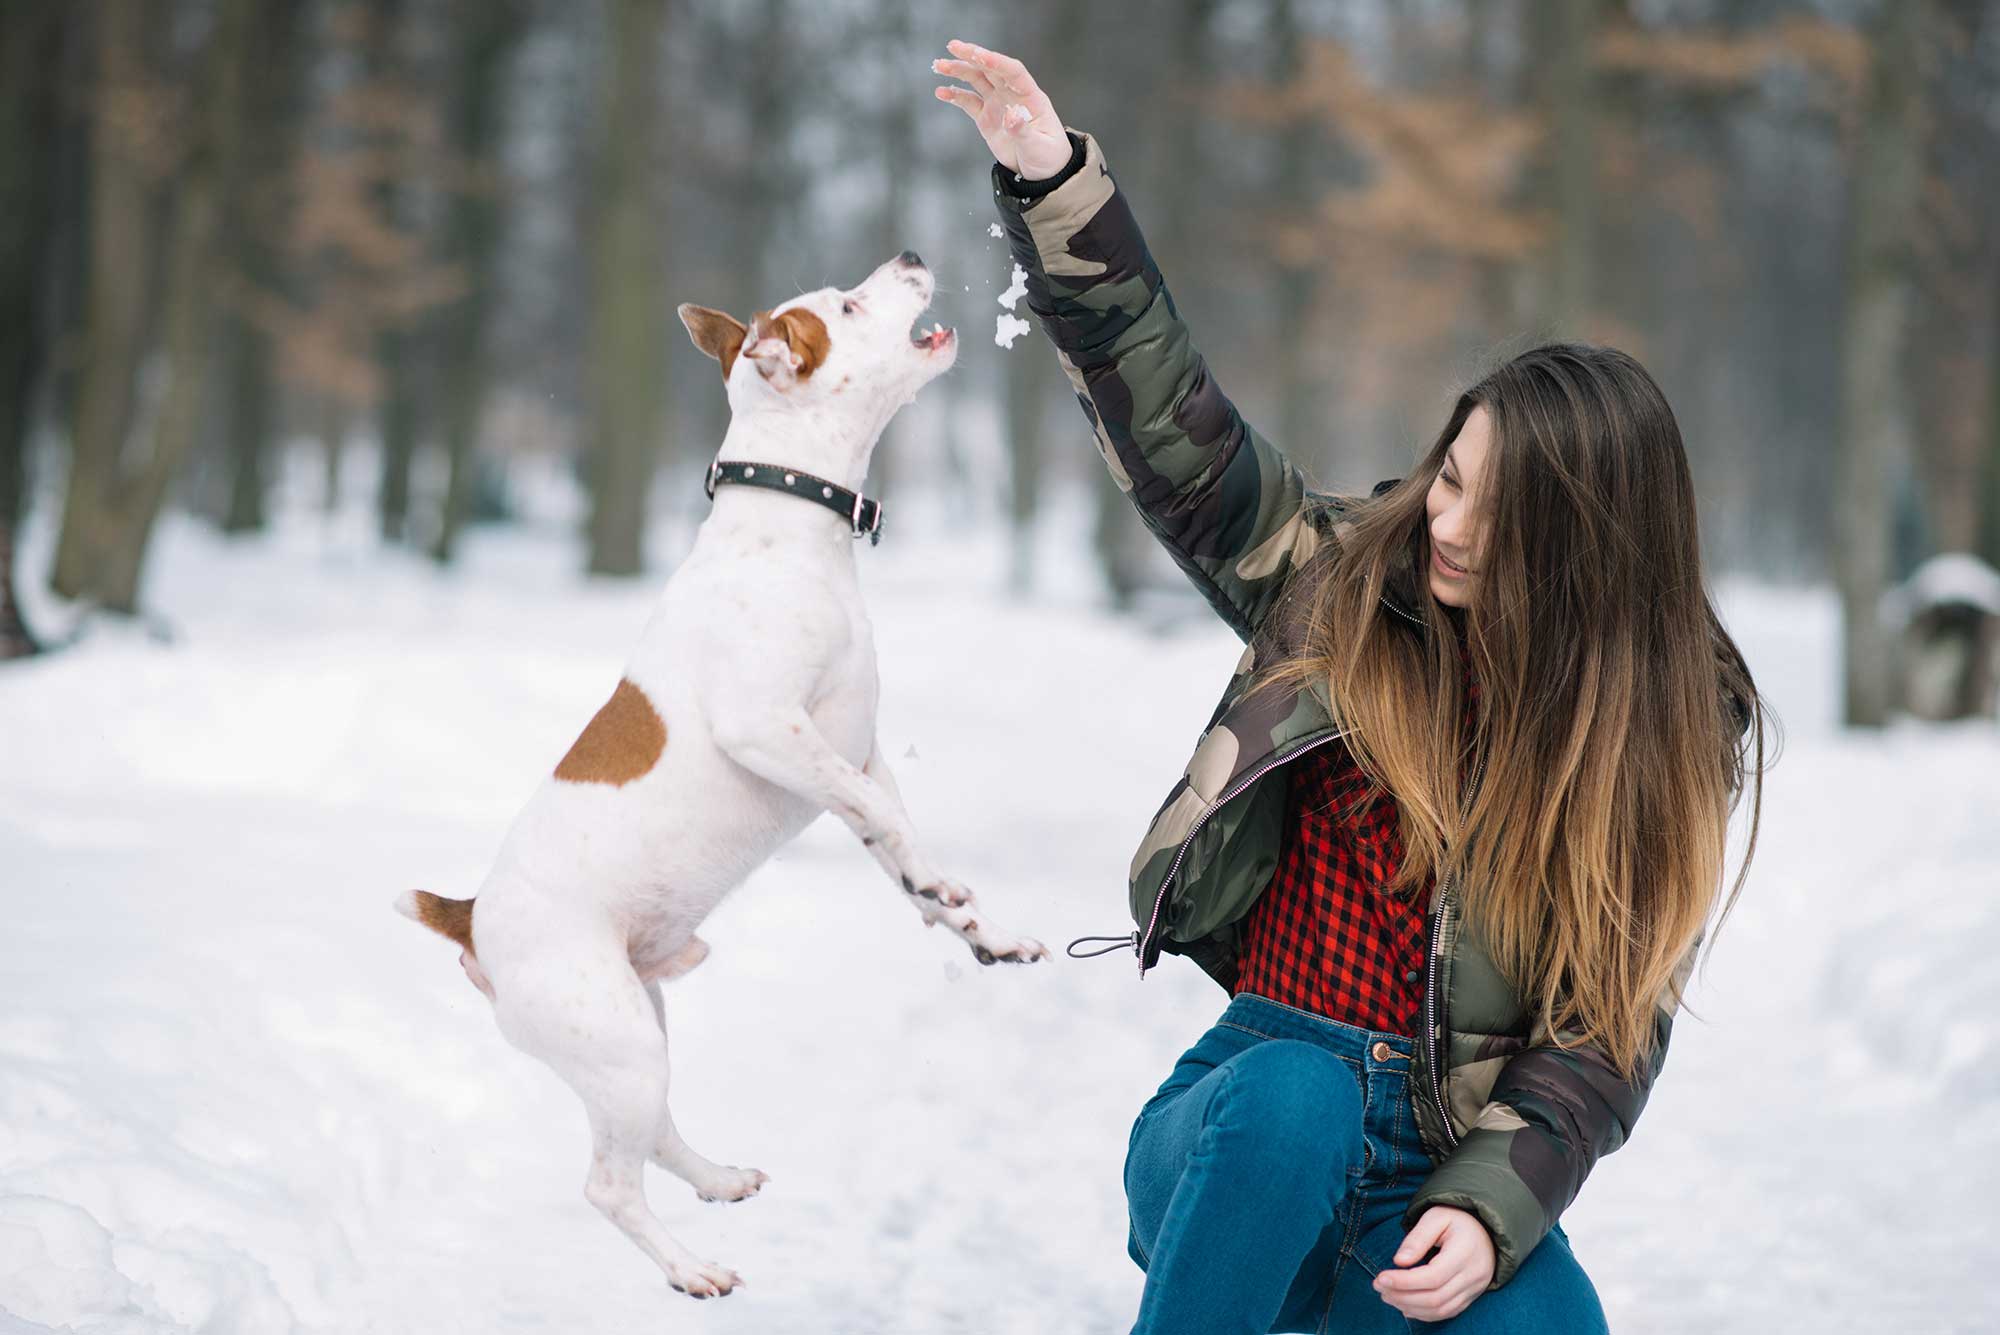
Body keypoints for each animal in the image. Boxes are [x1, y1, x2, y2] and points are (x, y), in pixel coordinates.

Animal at [392, 252, 1048, 1303]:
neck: (790, 526)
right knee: (608, 1182)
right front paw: (944, 891)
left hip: (638, 1031)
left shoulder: (854, 748)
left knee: (657, 1133)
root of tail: (471, 916)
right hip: (616, 1041)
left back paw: (718, 1178)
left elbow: (893, 832)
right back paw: (690, 1268)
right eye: (848, 305)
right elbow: (881, 817)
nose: (909, 257)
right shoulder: (772, 731)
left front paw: (975, 924)